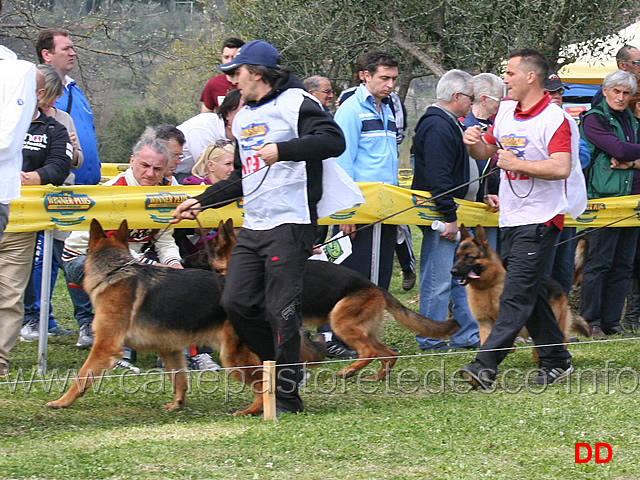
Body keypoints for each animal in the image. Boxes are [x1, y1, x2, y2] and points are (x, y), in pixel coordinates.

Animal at [450, 223, 592, 354]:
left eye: (469, 257)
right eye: (457, 256)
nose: (453, 271)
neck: (488, 286)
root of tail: (558, 286)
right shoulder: (485, 323)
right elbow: (487, 343)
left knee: (561, 339)